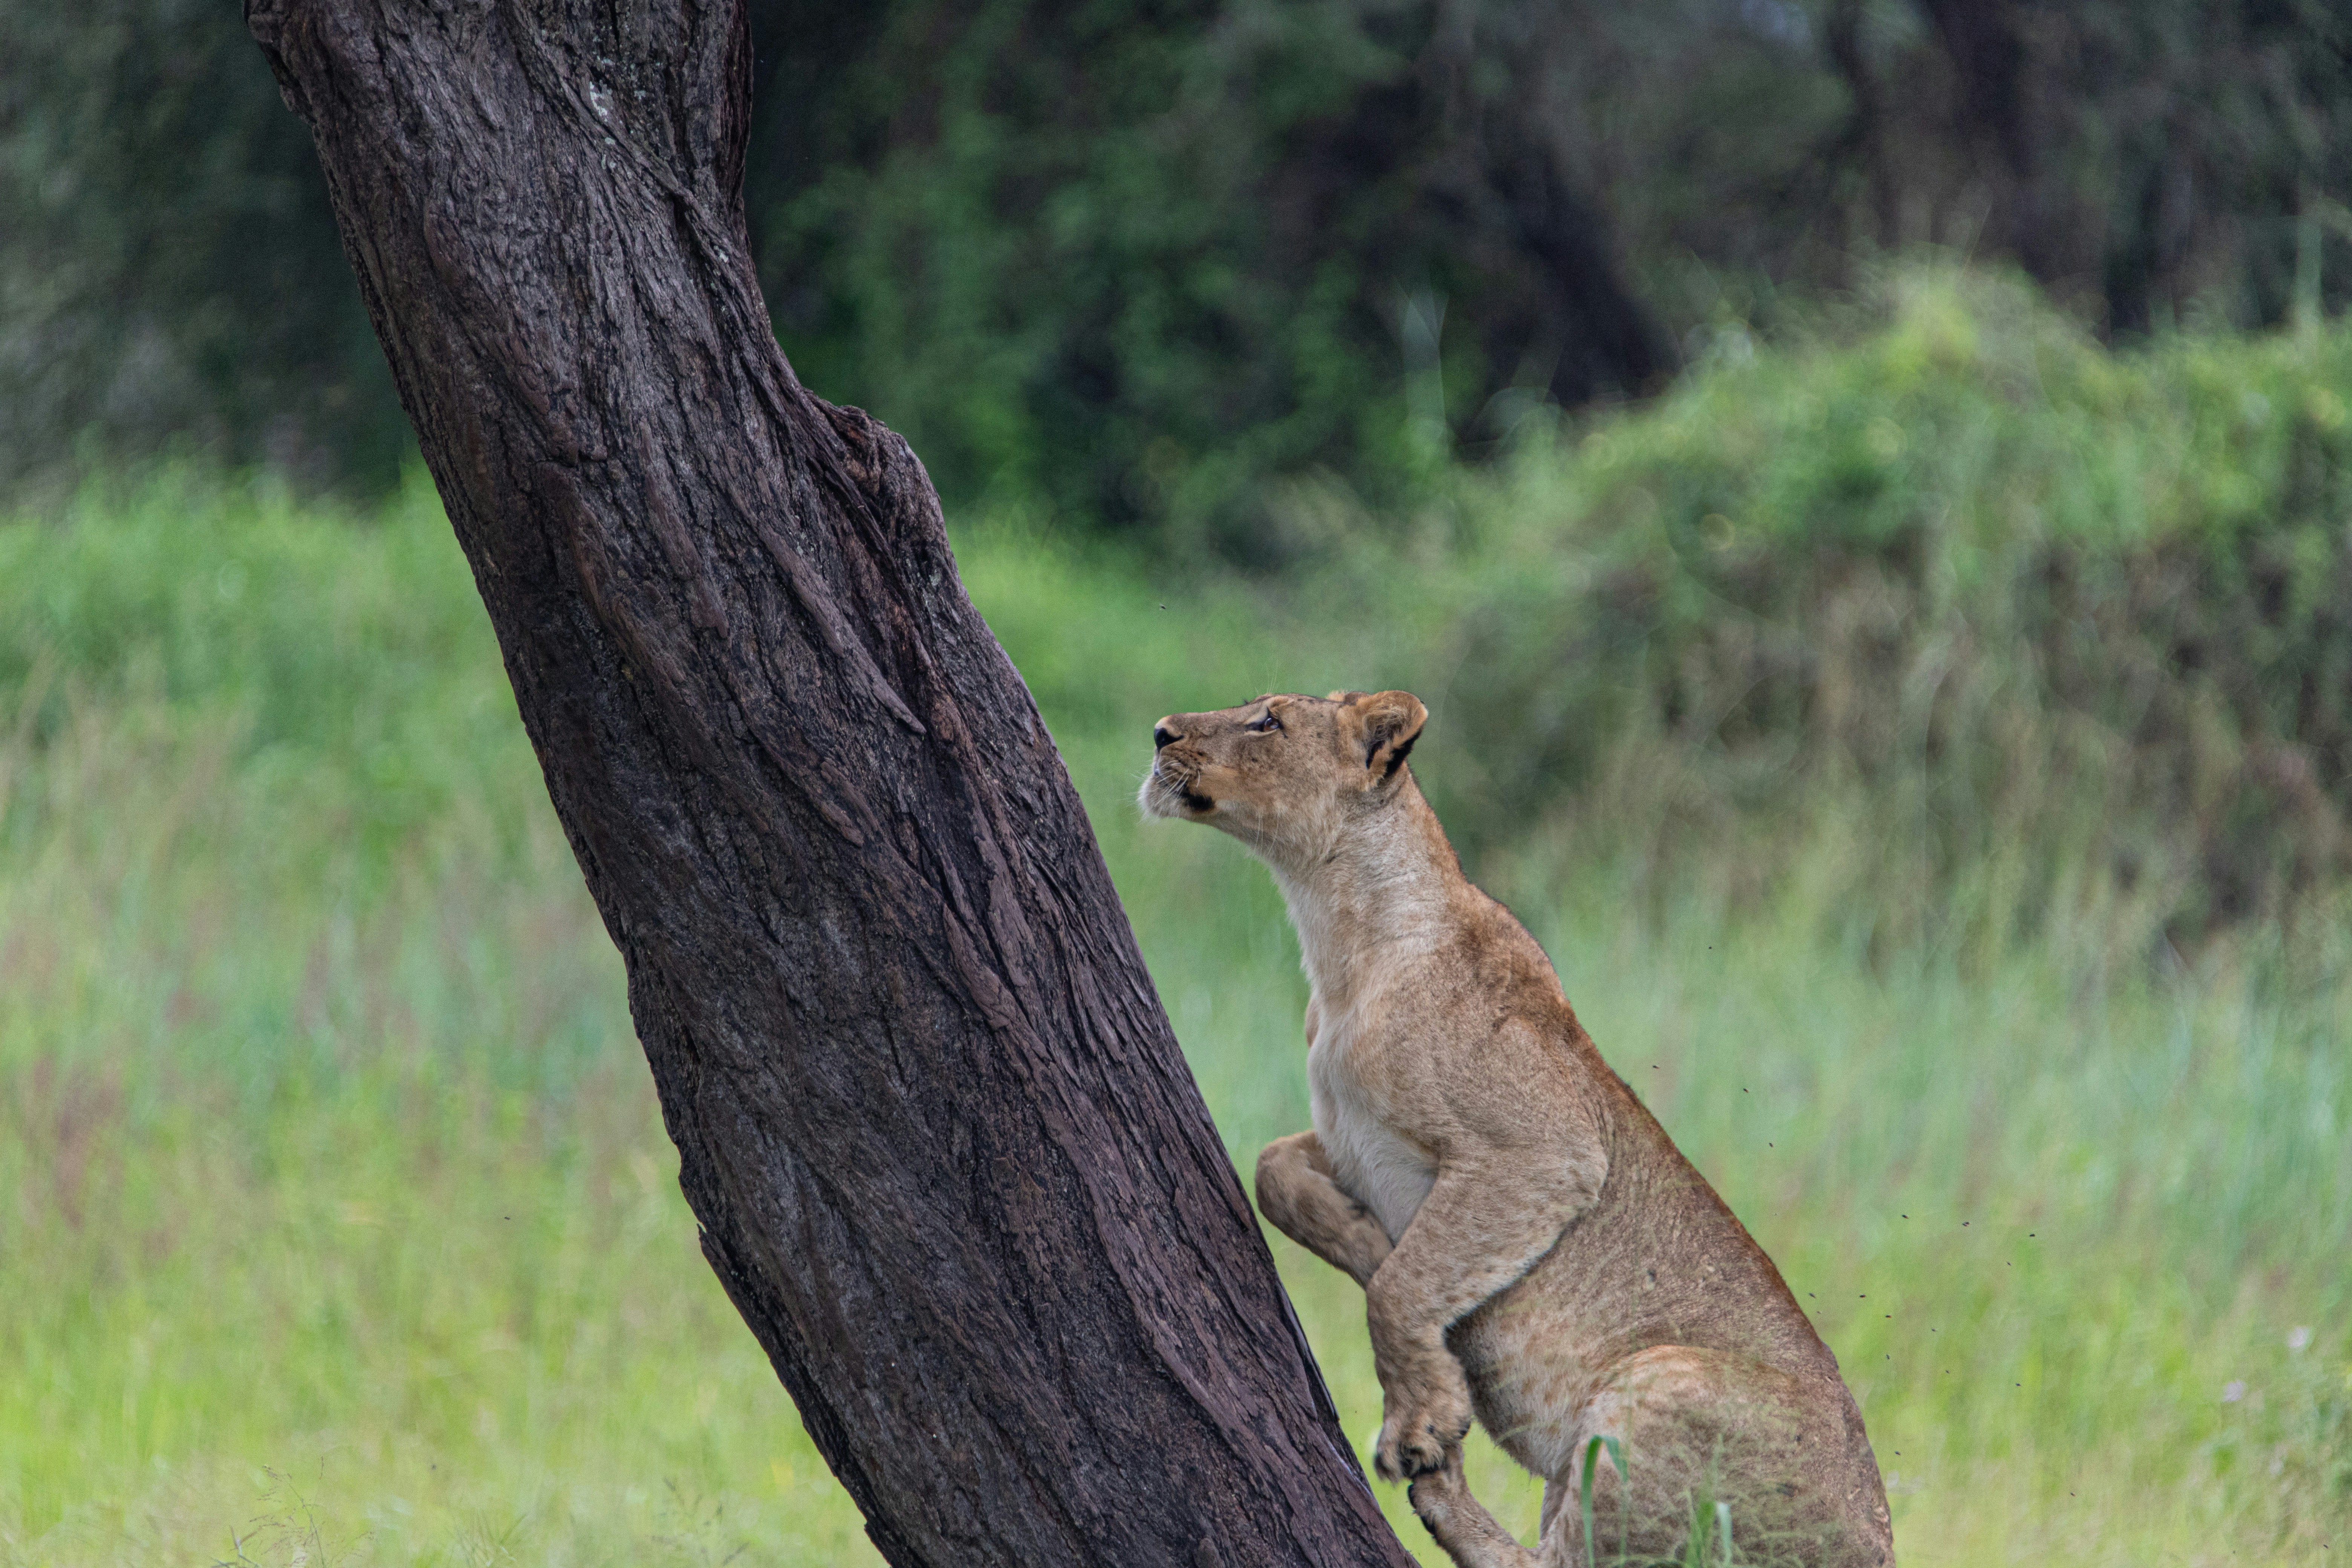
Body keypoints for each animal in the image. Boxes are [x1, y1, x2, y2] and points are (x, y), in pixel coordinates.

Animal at [1141, 690, 1892, 1568]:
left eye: (1267, 721)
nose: (1160, 732)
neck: (1341, 944)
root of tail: (1881, 1546)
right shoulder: (1352, 1143)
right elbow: (1276, 1176)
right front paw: (1371, 1246)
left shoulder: (1545, 1151)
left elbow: (1402, 1286)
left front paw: (1423, 1420)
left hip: (1662, 1386)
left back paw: (1439, 1485)